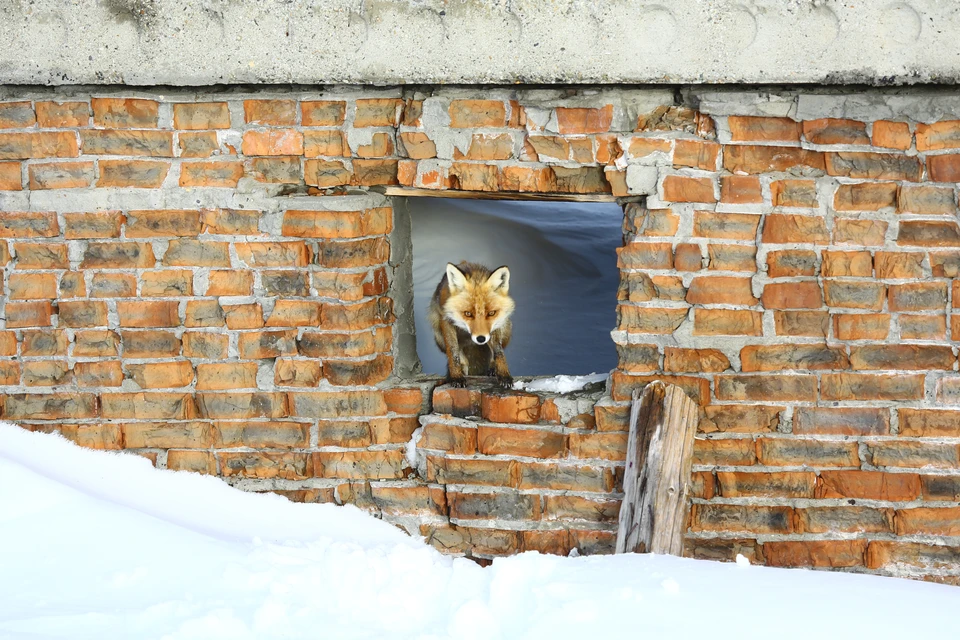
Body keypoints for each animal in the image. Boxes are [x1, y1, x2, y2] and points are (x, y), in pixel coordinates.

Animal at [430, 262, 512, 390]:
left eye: (491, 313)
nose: (481, 339)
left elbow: (499, 352)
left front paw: (504, 375)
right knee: (462, 357)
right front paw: (456, 376)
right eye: (467, 313)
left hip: (505, 325)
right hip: (438, 333)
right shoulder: (446, 320)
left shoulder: (496, 323)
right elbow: (453, 352)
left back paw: (492, 369)